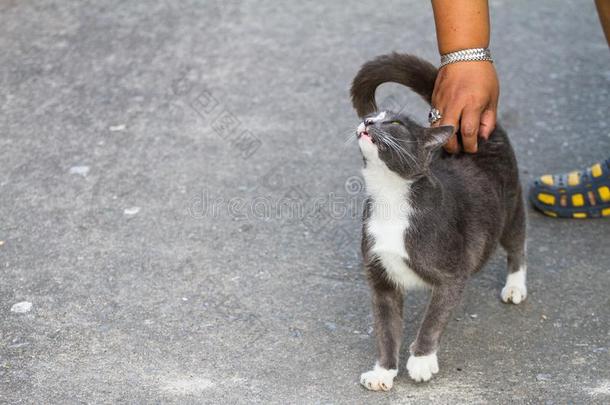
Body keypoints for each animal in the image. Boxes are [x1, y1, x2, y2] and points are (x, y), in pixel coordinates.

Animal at [350, 52, 524, 388]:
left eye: (393, 123)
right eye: (373, 116)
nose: (367, 121)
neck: (391, 196)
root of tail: (482, 130)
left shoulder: (452, 272)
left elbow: (433, 319)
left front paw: (421, 360)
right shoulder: (380, 277)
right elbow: (386, 328)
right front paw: (383, 371)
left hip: (510, 205)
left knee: (517, 241)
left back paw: (515, 286)